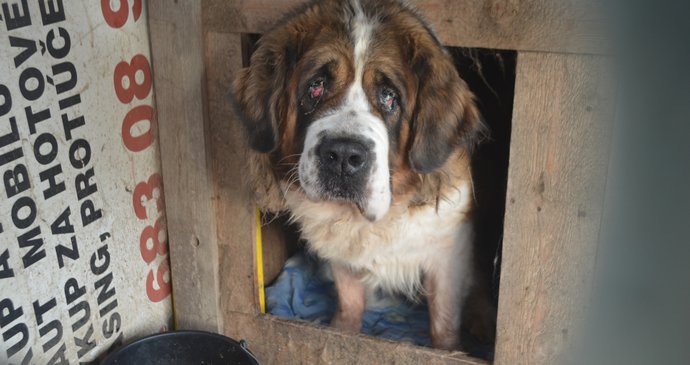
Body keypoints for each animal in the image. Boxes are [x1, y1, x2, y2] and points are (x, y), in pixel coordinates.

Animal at [231, 0, 484, 348]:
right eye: (316, 87)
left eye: (389, 97)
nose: (342, 156)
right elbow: (349, 297)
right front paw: (343, 332)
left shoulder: (448, 247)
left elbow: (443, 318)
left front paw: (448, 350)